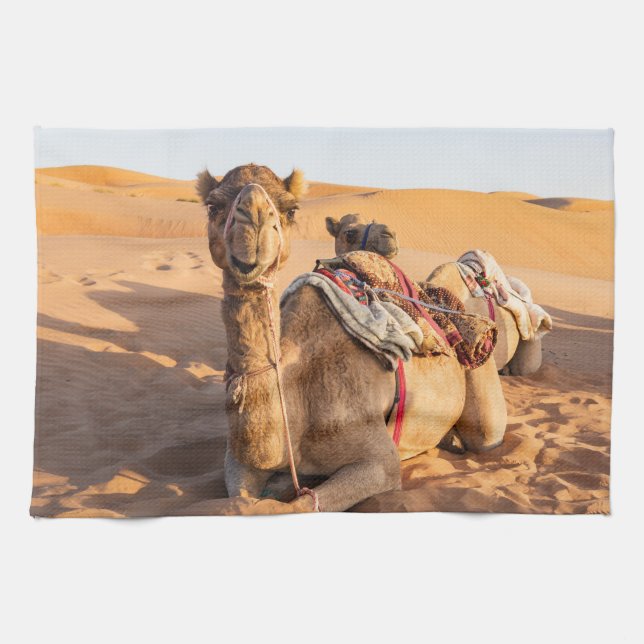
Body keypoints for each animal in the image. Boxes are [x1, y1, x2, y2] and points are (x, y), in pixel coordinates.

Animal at [198, 163, 507, 512]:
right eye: (213, 206)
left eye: (291, 209)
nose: (254, 222)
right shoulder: (238, 460)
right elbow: (241, 498)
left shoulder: (380, 461)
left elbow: (300, 505)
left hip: (483, 386)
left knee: (486, 434)